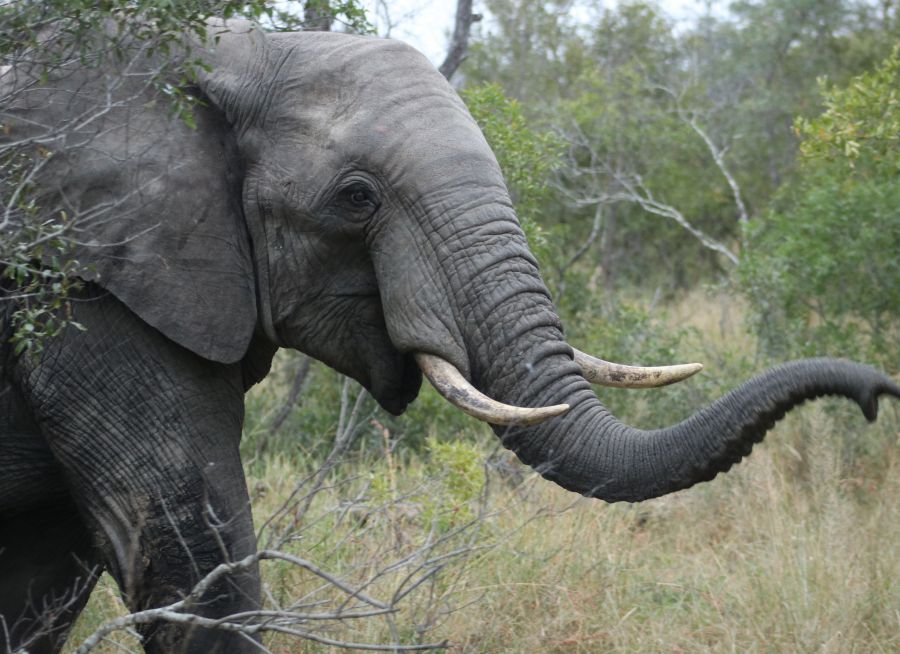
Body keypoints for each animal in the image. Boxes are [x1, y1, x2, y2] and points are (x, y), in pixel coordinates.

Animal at [0, 18, 896, 654]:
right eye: (357, 197)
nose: (877, 389)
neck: (231, 47)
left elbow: (46, 572)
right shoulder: (79, 286)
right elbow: (189, 552)